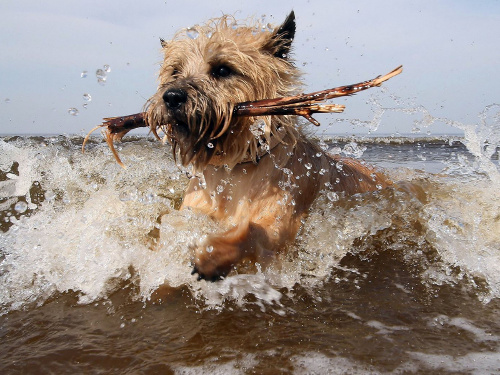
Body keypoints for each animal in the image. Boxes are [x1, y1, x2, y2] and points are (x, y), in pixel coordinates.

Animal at [145, 11, 390, 282]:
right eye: (175, 71)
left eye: (223, 69)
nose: (172, 96)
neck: (233, 169)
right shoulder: (190, 211)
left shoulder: (282, 226)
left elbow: (255, 232)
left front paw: (214, 254)